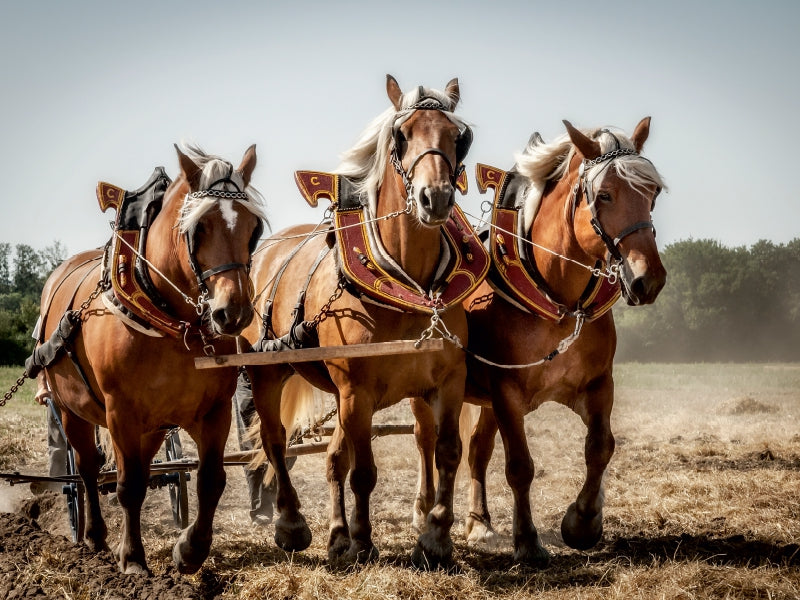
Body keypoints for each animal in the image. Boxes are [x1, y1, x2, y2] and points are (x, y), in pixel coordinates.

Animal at [30, 145, 266, 576]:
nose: (233, 313)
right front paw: (134, 559)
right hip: (72, 410)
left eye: (252, 227)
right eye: (198, 227)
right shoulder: (120, 410)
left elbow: (210, 479)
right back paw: (94, 536)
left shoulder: (214, 411)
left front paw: (189, 550)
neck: (170, 317)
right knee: (87, 471)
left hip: (153, 425)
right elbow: (129, 486)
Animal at [244, 75, 478, 568]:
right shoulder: (357, 390)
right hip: (268, 374)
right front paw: (365, 541)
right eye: (401, 135)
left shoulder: (447, 380)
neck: (406, 280)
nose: (435, 197)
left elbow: (447, 451)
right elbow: (365, 472)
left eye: (459, 136)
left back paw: (336, 535)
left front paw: (436, 537)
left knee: (334, 458)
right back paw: (292, 524)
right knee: (276, 442)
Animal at [412, 116, 668, 564]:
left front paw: (582, 522)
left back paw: (479, 523)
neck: (557, 294)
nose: (646, 278)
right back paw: (425, 509)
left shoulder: (597, 385)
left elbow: (600, 447)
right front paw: (528, 540)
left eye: (651, 194)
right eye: (605, 194)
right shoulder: (507, 391)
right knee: (427, 441)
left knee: (477, 449)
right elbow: (520, 465)